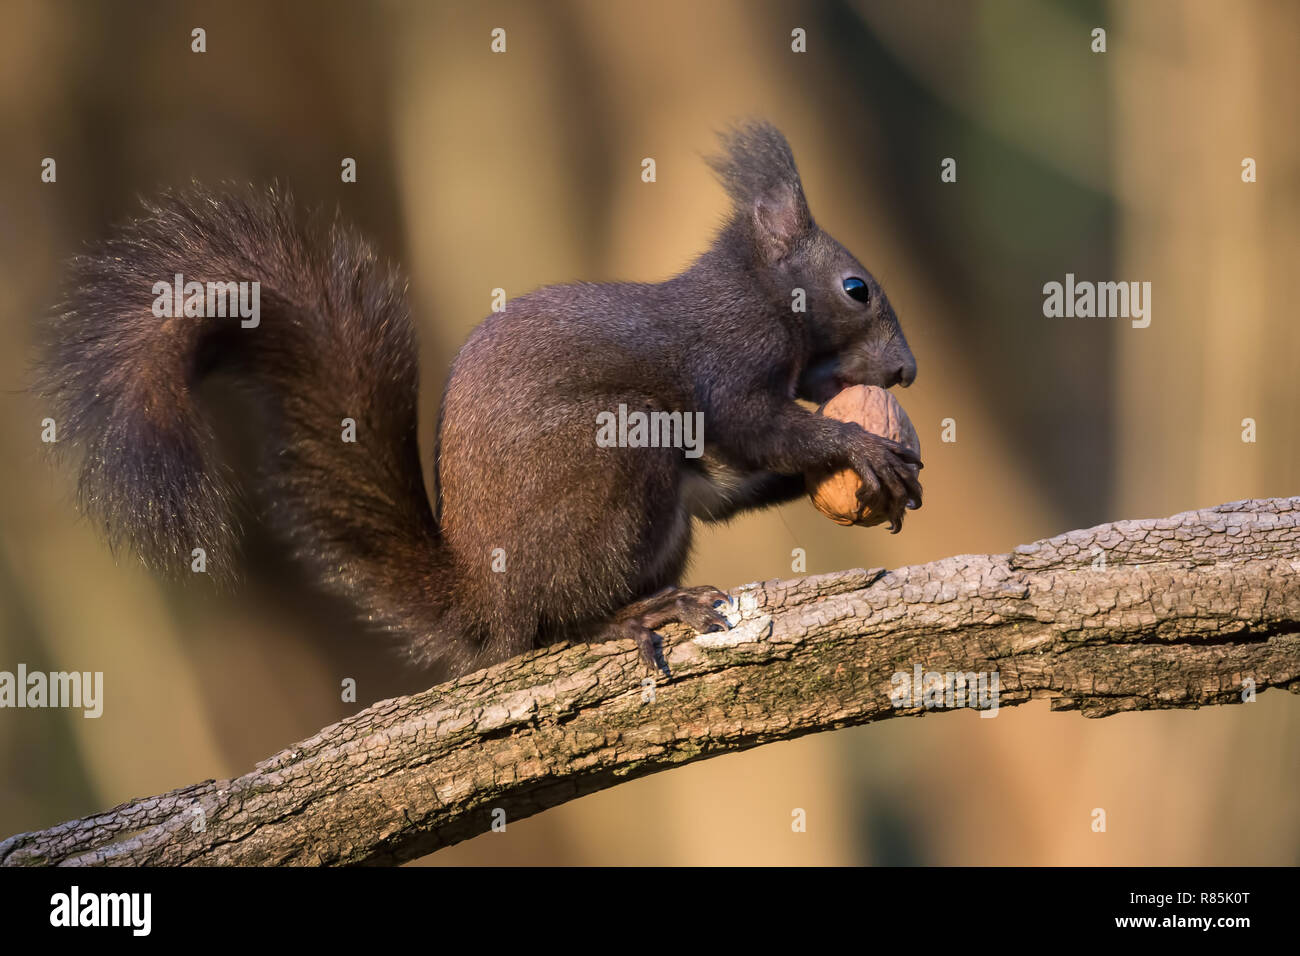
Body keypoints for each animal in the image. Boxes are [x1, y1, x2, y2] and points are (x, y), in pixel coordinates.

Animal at [40, 121, 925, 681]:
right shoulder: (731, 362)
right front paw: (863, 447)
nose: (908, 372)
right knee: (557, 626)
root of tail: (485, 603)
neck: (758, 291)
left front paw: (897, 472)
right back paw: (639, 616)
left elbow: (738, 479)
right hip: (612, 465)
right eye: (857, 289)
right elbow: (755, 430)